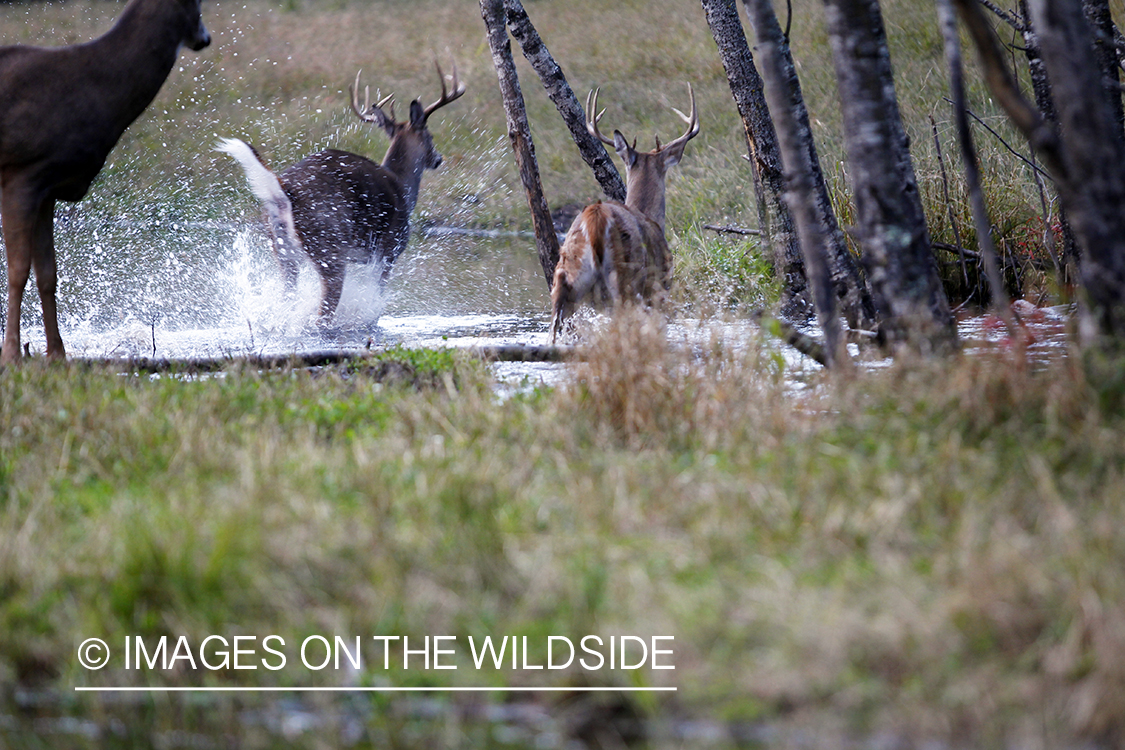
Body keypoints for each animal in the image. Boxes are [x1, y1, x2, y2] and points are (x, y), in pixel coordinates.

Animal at [0, 0, 211, 366]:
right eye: (197, 4)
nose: (205, 37)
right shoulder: (20, 173)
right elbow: (18, 271)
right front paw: (11, 354)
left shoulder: (46, 188)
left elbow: (48, 273)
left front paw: (57, 353)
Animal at [217, 62, 463, 321]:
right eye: (431, 136)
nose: (438, 159)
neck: (403, 187)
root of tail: (285, 189)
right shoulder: (388, 251)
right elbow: (375, 305)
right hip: (328, 245)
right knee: (322, 315)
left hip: (283, 251)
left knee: (286, 301)